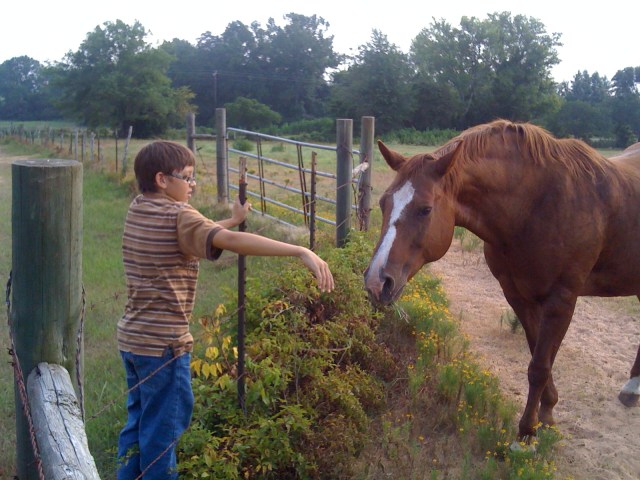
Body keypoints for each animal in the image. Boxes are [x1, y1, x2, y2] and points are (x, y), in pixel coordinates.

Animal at [364, 119, 640, 439]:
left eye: (425, 209)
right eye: (383, 203)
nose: (376, 282)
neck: (536, 205)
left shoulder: (562, 300)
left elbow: (540, 367)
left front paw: (526, 433)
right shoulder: (517, 295)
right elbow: (538, 356)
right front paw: (546, 412)